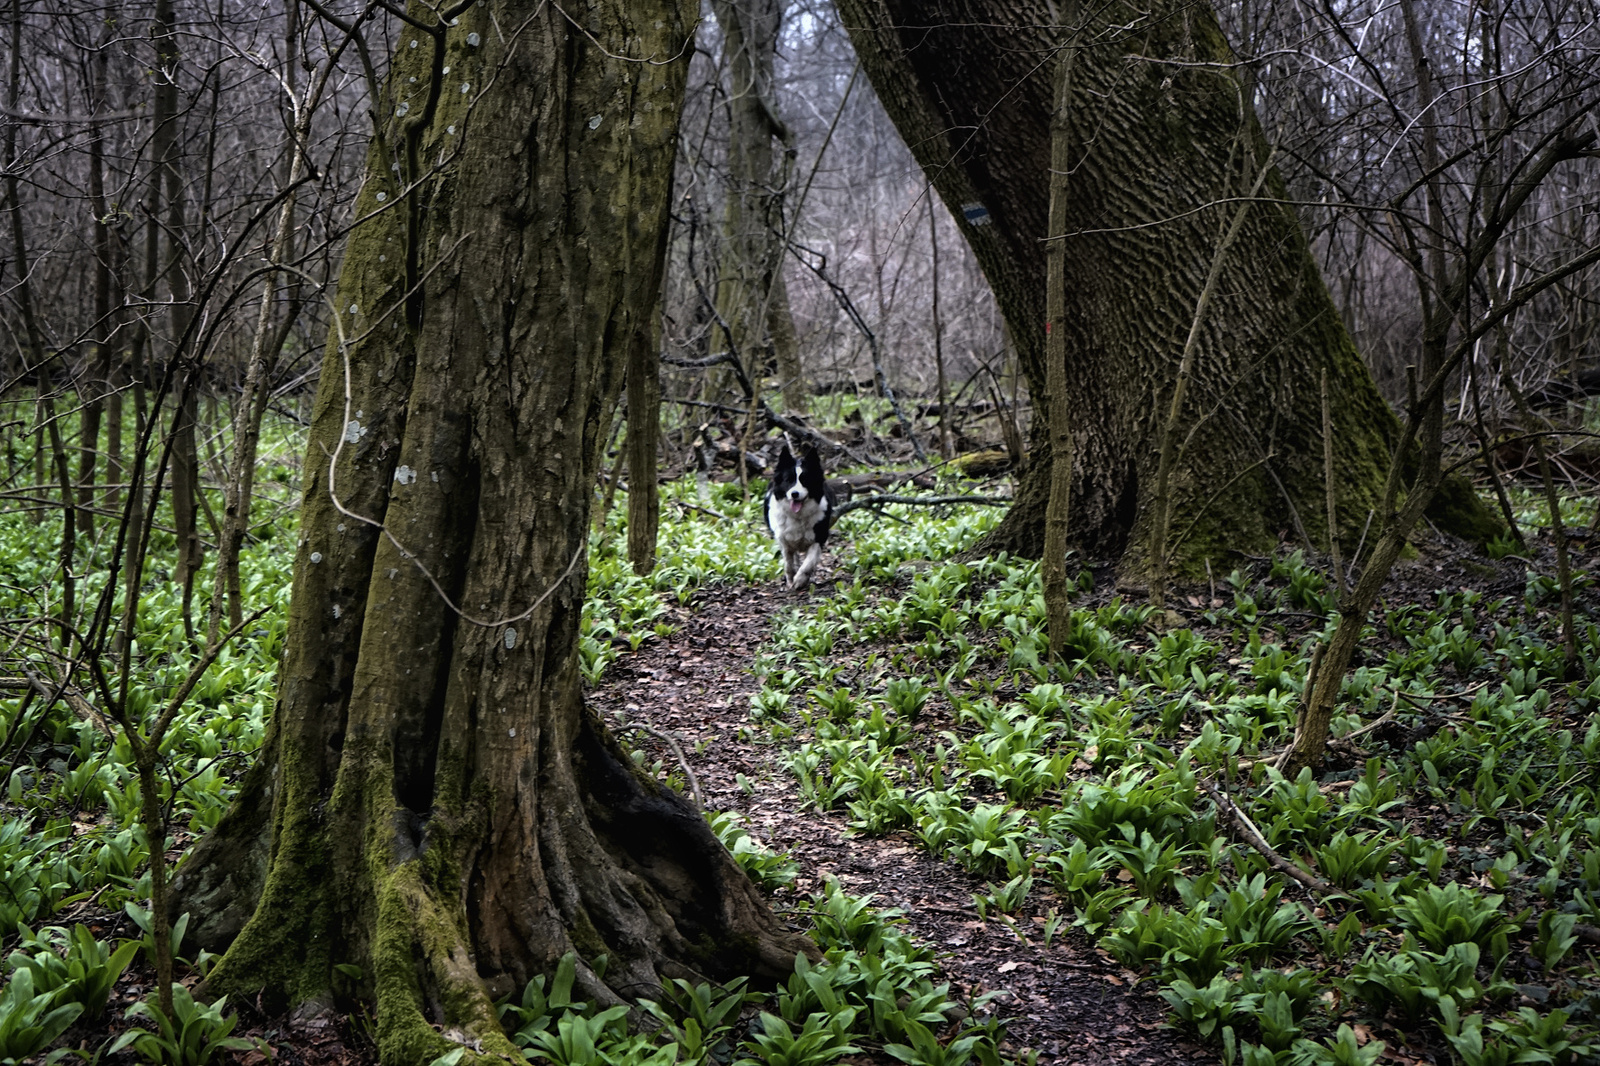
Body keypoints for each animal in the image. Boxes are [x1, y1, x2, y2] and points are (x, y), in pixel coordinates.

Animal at [764, 441, 838, 589]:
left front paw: (800, 580)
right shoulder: (783, 539)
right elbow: (788, 563)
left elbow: (809, 562)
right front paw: (791, 579)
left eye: (805, 480)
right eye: (788, 480)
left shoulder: (819, 537)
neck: (798, 516)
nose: (794, 494)